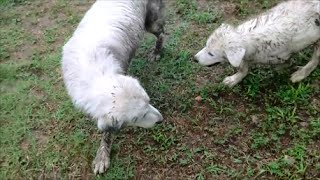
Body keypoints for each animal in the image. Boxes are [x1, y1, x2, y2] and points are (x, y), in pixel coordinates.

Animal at [61, 0, 165, 174]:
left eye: (149, 102)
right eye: (137, 117)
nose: (161, 120)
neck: (94, 72)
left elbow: (107, 133)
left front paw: (102, 155)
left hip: (152, 23)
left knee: (162, 33)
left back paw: (157, 52)